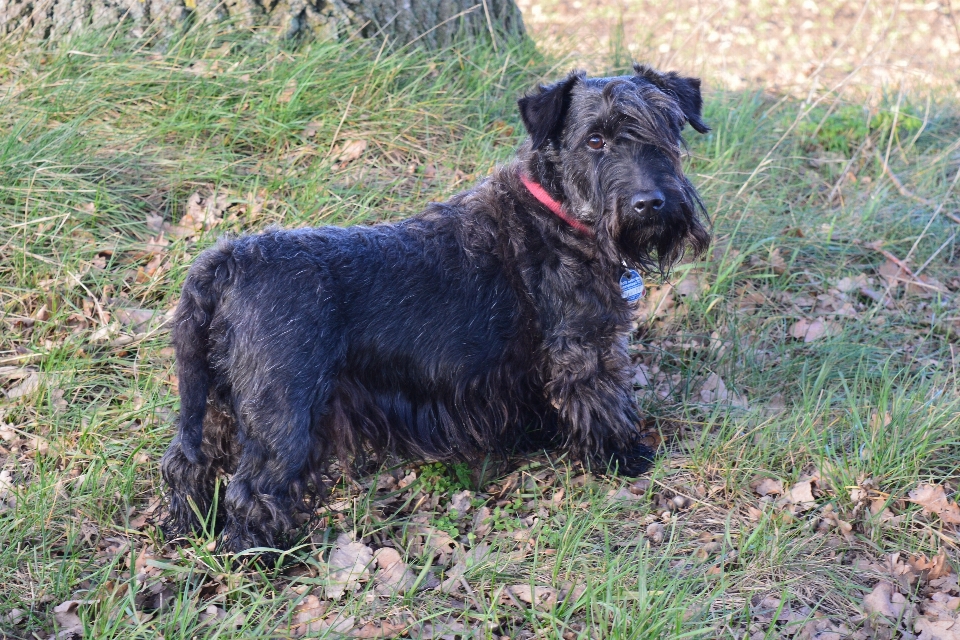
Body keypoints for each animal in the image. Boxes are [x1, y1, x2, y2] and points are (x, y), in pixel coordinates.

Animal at [161, 63, 708, 552]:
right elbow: (603, 401)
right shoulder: (586, 347)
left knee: (188, 463)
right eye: (595, 141)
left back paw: (185, 527)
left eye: (666, 129)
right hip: (284, 413)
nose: (649, 203)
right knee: (254, 489)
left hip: (217, 400)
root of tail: (226, 262)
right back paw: (259, 556)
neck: (558, 212)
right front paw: (625, 456)